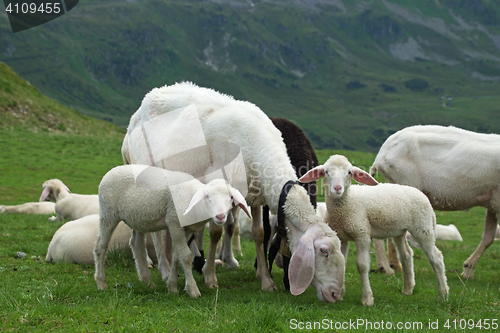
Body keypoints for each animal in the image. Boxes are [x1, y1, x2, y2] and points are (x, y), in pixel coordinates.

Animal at [92, 163, 252, 296]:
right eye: (206, 196)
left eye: (231, 197)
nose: (220, 216)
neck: (192, 199)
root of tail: (112, 171)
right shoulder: (174, 222)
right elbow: (185, 256)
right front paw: (192, 290)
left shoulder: (186, 230)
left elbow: (176, 256)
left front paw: (172, 286)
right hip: (108, 213)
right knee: (101, 247)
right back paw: (101, 283)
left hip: (136, 216)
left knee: (136, 244)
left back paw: (147, 281)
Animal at [119, 81, 346, 300]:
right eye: (323, 251)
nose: (335, 294)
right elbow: (216, 232)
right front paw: (210, 276)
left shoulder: (255, 197)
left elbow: (259, 233)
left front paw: (266, 280)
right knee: (153, 232)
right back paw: (162, 270)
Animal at [298, 154, 448, 304]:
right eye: (326, 172)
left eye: (349, 172)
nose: (337, 188)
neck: (346, 206)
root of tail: (422, 195)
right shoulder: (341, 236)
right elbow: (342, 262)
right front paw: (340, 295)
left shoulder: (362, 234)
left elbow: (362, 266)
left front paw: (367, 299)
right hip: (399, 230)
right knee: (406, 254)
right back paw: (408, 289)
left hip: (423, 227)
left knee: (436, 257)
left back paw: (443, 294)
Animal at [370, 126, 500, 278]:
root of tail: (382, 153)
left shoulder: (492, 202)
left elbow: (488, 238)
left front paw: (468, 270)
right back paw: (386, 268)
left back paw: (394, 265)